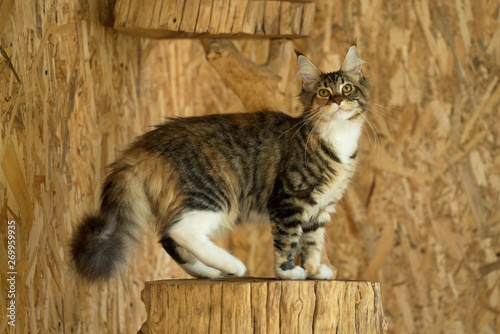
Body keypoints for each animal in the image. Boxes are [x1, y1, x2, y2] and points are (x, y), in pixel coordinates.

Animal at [69, 45, 368, 282]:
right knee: (180, 231)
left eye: (347, 89)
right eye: (323, 92)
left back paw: (210, 272)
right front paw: (288, 272)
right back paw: (232, 265)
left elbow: (313, 243)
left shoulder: (321, 208)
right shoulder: (289, 200)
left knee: (168, 237)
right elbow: (288, 240)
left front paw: (315, 271)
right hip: (214, 194)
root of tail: (144, 143)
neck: (338, 139)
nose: (338, 101)